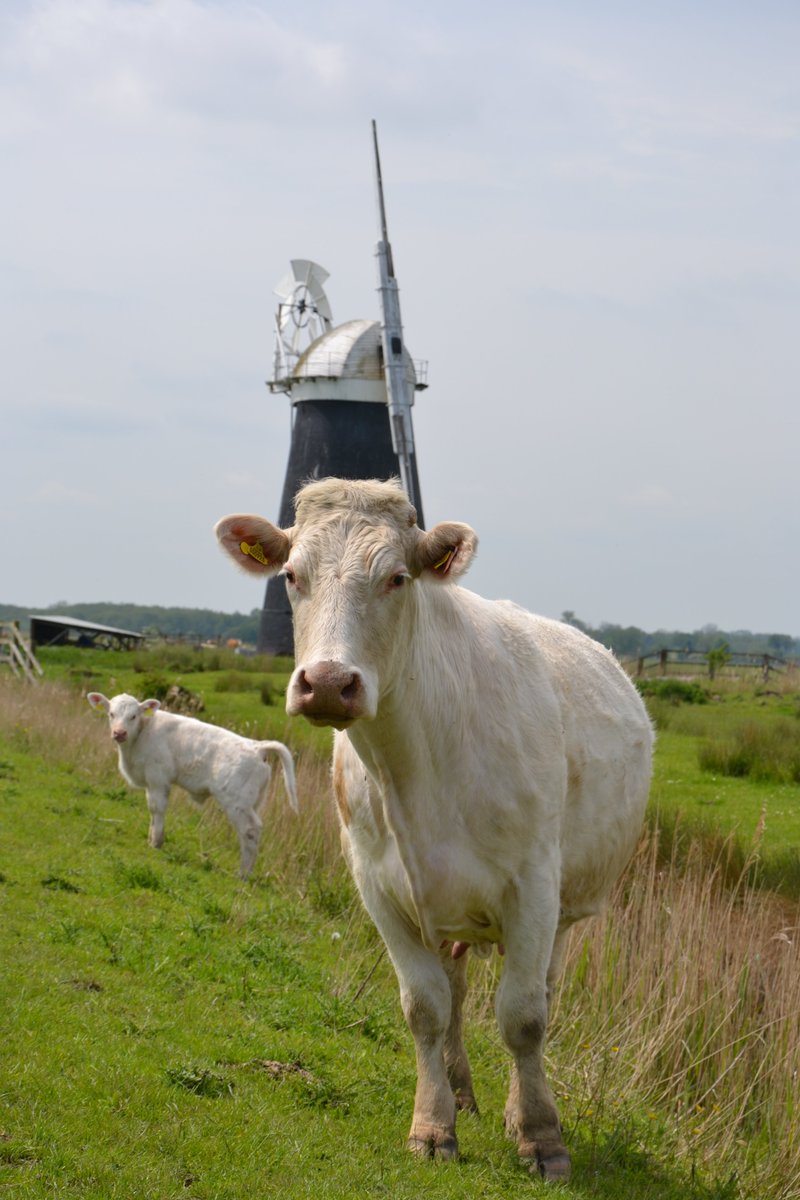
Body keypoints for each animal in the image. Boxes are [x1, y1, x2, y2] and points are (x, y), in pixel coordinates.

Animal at [87, 691, 298, 878]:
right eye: (111, 714)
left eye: (133, 716)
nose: (119, 733)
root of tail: (258, 746)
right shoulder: (150, 782)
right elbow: (151, 810)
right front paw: (150, 838)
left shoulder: (158, 779)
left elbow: (157, 808)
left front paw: (156, 842)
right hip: (254, 802)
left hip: (237, 803)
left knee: (250, 831)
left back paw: (243, 874)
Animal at [212, 472, 652, 1176]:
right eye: (290, 575)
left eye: (397, 578)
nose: (327, 683)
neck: (415, 765)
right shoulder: (378, 886)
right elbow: (425, 1006)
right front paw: (432, 1123)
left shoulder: (534, 888)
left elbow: (524, 1016)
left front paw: (540, 1136)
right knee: (457, 988)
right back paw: (461, 1091)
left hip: (564, 909)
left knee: (541, 993)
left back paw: (511, 1107)